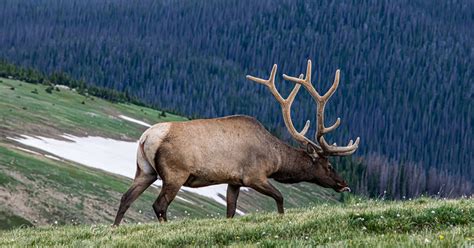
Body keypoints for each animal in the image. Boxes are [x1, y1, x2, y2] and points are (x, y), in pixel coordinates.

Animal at [115, 59, 360, 225]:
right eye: (329, 165)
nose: (344, 184)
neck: (276, 160)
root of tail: (146, 138)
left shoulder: (234, 180)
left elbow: (231, 211)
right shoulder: (254, 175)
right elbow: (280, 197)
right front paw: (282, 218)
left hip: (145, 170)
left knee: (126, 198)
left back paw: (115, 228)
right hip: (175, 173)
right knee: (159, 204)